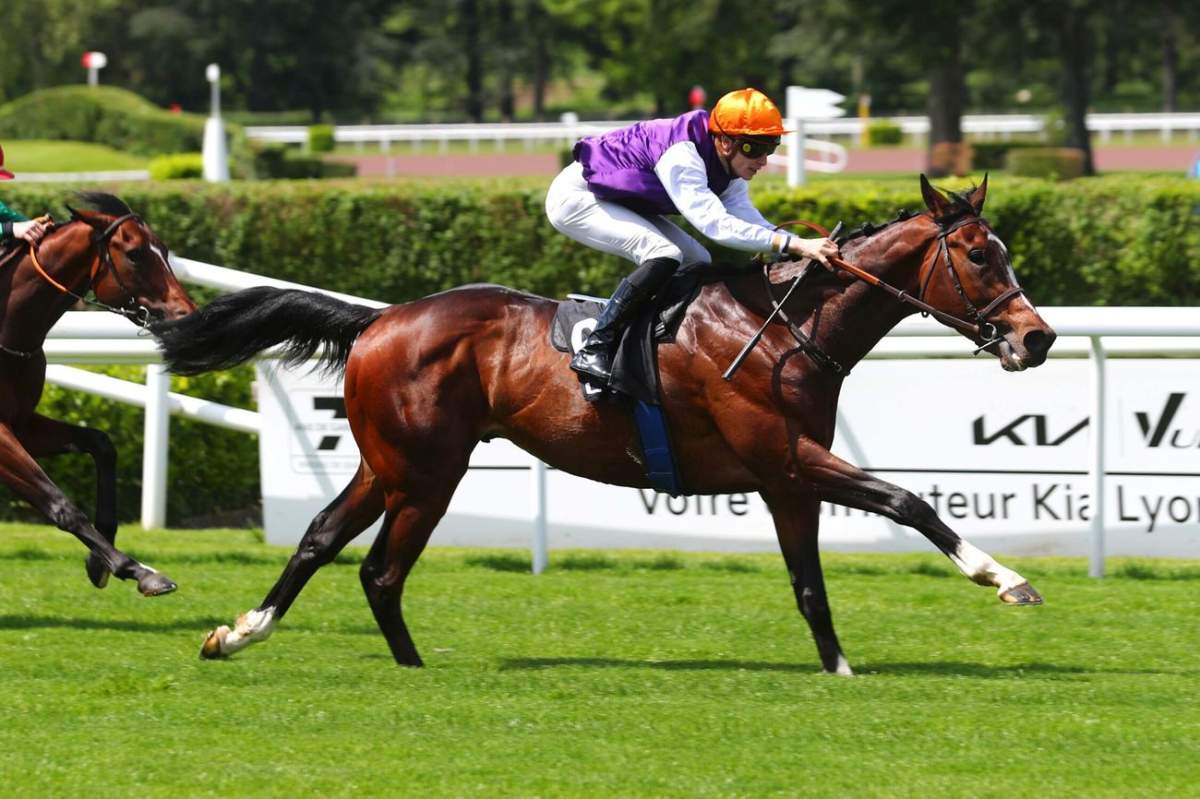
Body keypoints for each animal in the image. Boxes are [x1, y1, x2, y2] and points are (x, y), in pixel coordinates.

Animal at [0, 192, 196, 597]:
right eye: (135, 253)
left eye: (165, 249)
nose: (188, 315)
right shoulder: (0, 434)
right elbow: (59, 503)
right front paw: (136, 569)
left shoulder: (21, 422)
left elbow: (101, 443)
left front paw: (100, 558)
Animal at [152, 175, 1056, 675]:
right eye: (981, 255)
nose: (1037, 337)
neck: (786, 327)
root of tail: (379, 319)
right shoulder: (789, 457)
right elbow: (910, 501)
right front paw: (1007, 579)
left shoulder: (783, 479)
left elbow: (810, 585)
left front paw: (839, 667)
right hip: (426, 473)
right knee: (378, 568)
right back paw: (407, 666)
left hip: (387, 464)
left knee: (321, 540)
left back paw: (243, 635)